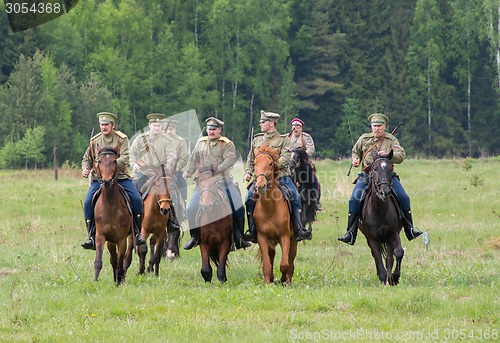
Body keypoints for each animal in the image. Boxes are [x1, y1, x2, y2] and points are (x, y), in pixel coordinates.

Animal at [92, 147, 133, 284]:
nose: (107, 181)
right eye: (99, 161)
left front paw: (119, 281)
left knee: (126, 259)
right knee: (113, 259)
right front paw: (95, 281)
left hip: (130, 237)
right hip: (110, 241)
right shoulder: (101, 236)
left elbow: (121, 262)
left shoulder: (121, 239)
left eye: (114, 161)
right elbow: (98, 261)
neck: (110, 206)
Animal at [254, 145, 296, 284]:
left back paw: (288, 279)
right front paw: (268, 281)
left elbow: (284, 264)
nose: (260, 186)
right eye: (255, 163)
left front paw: (283, 279)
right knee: (271, 255)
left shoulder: (285, 236)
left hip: (294, 239)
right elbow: (267, 264)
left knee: (291, 259)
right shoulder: (262, 236)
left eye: (271, 163)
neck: (270, 209)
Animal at [358, 152, 404, 286]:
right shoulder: (372, 238)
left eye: (390, 169)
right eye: (374, 169)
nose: (384, 192)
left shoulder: (393, 234)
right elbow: (377, 256)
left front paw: (394, 277)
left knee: (389, 256)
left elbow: (398, 252)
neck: (379, 211)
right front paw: (383, 278)